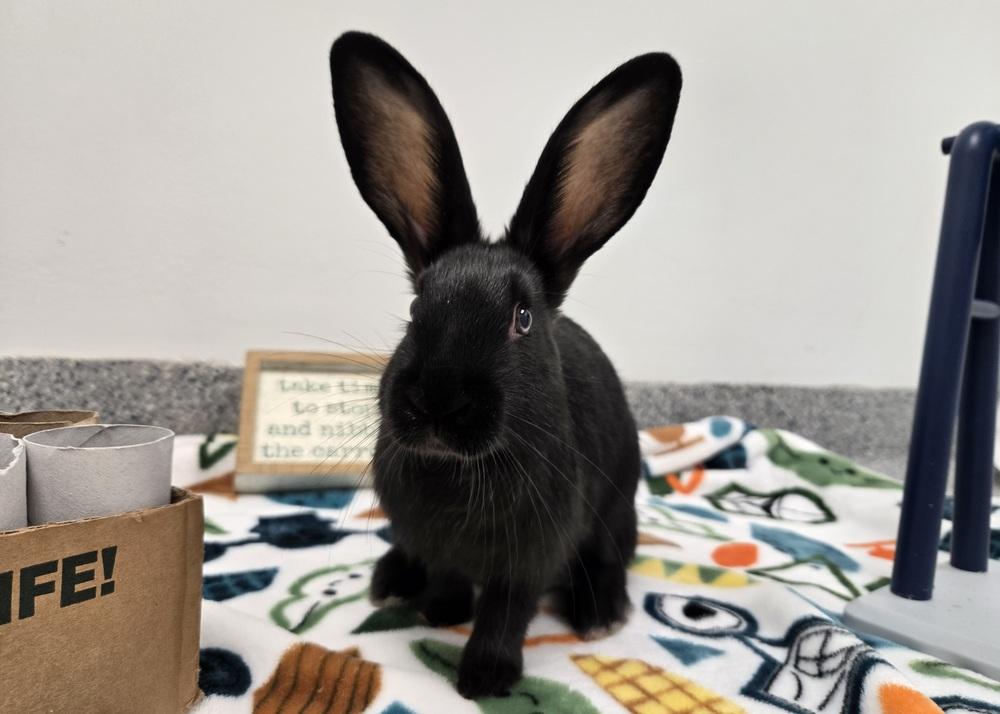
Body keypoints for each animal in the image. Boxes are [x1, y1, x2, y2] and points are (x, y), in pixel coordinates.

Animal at [329, 31, 681, 699]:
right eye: (416, 307)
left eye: (522, 319)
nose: (437, 400)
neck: (458, 471)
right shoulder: (433, 539)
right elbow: (446, 574)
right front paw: (442, 610)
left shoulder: (531, 554)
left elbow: (506, 610)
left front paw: (486, 676)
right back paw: (393, 582)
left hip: (617, 505)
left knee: (611, 555)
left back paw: (599, 614)